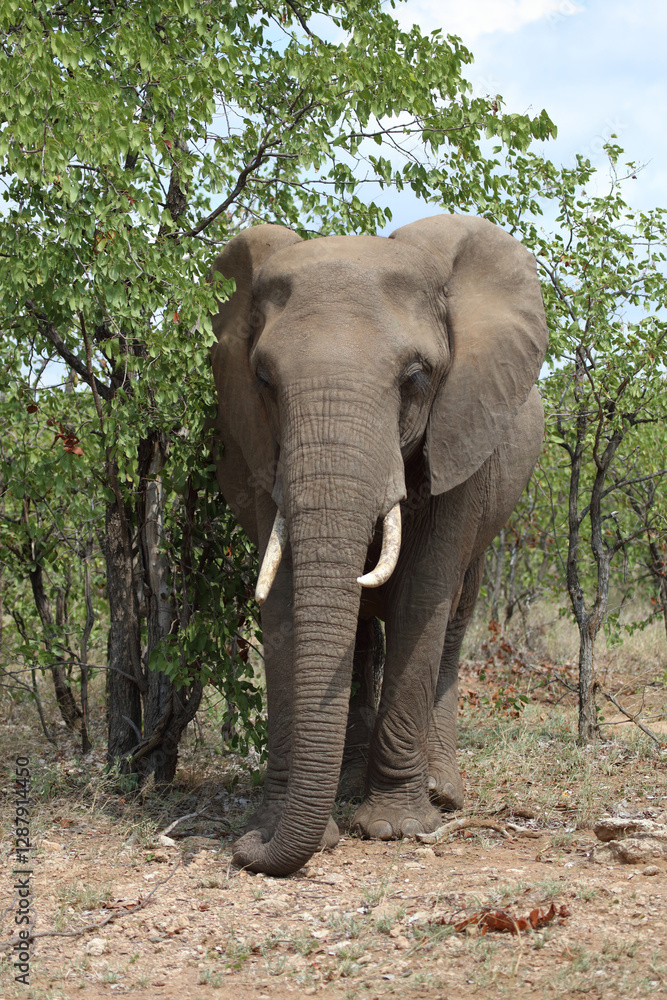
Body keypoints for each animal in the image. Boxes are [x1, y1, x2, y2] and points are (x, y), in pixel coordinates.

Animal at [208, 214, 548, 877]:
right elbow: (282, 601)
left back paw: (442, 792)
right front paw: (284, 826)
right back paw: (346, 782)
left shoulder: (458, 432)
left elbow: (423, 594)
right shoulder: (263, 453)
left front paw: (393, 828)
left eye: (415, 378)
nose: (245, 849)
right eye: (262, 379)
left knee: (454, 617)